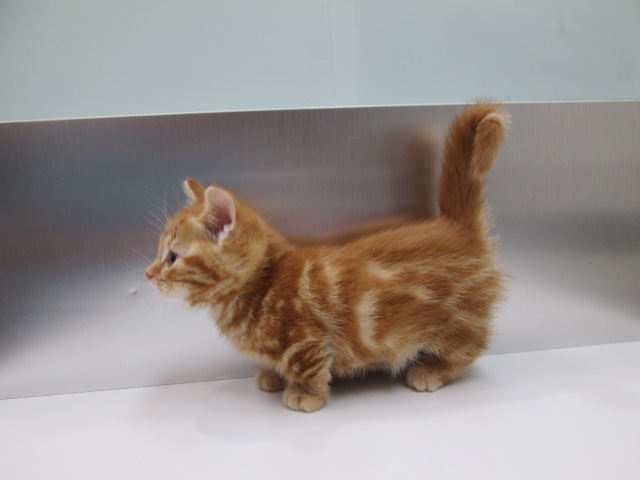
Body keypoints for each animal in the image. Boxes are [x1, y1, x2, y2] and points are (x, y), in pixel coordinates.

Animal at [146, 103, 507, 412]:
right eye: (160, 252)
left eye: (173, 257)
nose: (148, 274)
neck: (260, 287)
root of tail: (456, 227)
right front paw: (273, 375)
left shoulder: (307, 340)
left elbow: (308, 366)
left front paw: (306, 394)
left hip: (457, 320)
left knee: (472, 345)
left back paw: (432, 370)